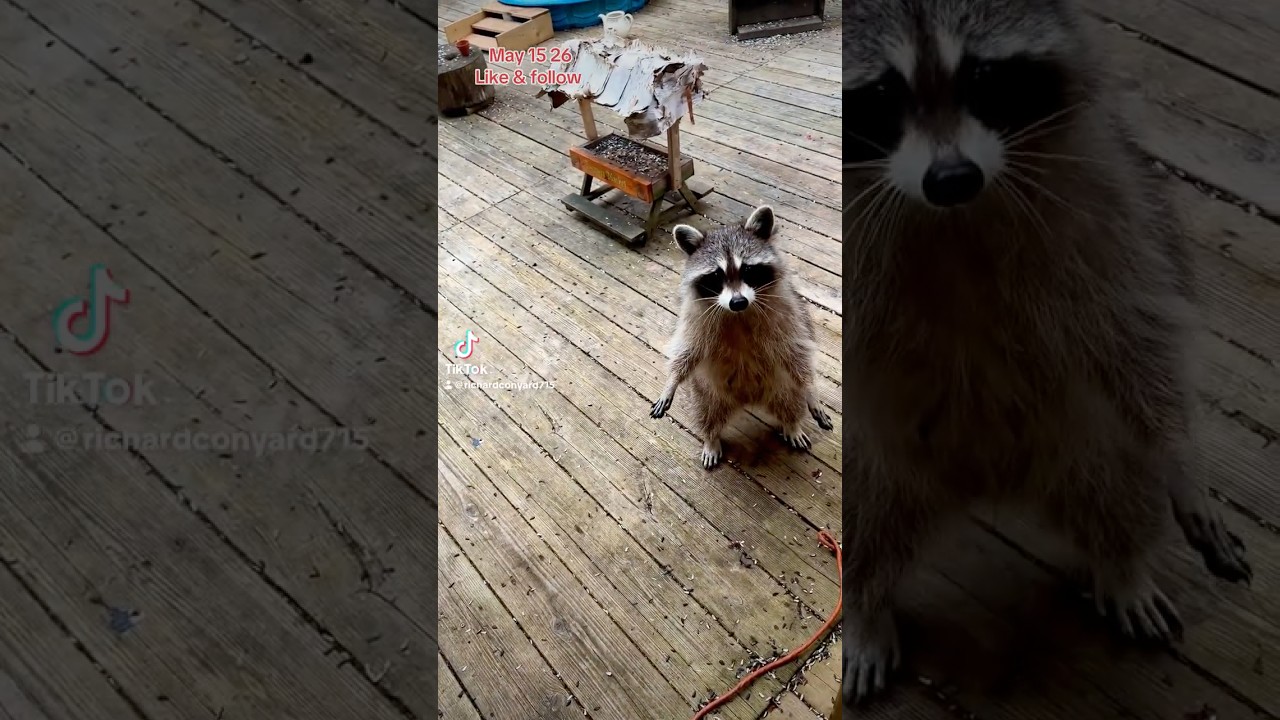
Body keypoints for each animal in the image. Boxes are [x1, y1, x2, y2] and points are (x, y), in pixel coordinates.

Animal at [649, 205, 833, 469]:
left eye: (747, 269)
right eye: (716, 276)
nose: (738, 302)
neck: (738, 314)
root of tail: (749, 398)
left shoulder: (787, 313)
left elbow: (796, 350)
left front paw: (811, 390)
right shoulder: (695, 318)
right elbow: (687, 350)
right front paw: (671, 382)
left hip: (782, 384)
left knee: (791, 398)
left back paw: (792, 424)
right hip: (709, 390)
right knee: (706, 412)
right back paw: (711, 438)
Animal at [841, 0, 1251, 704]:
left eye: (982, 76)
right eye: (885, 93)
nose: (953, 178)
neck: (951, 215)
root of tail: (985, 477)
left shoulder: (1105, 201)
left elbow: (1140, 327)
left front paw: (1183, 462)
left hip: (1074, 431)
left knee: (1118, 468)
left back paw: (1123, 564)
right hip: (885, 458)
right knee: (864, 509)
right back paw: (867, 609)